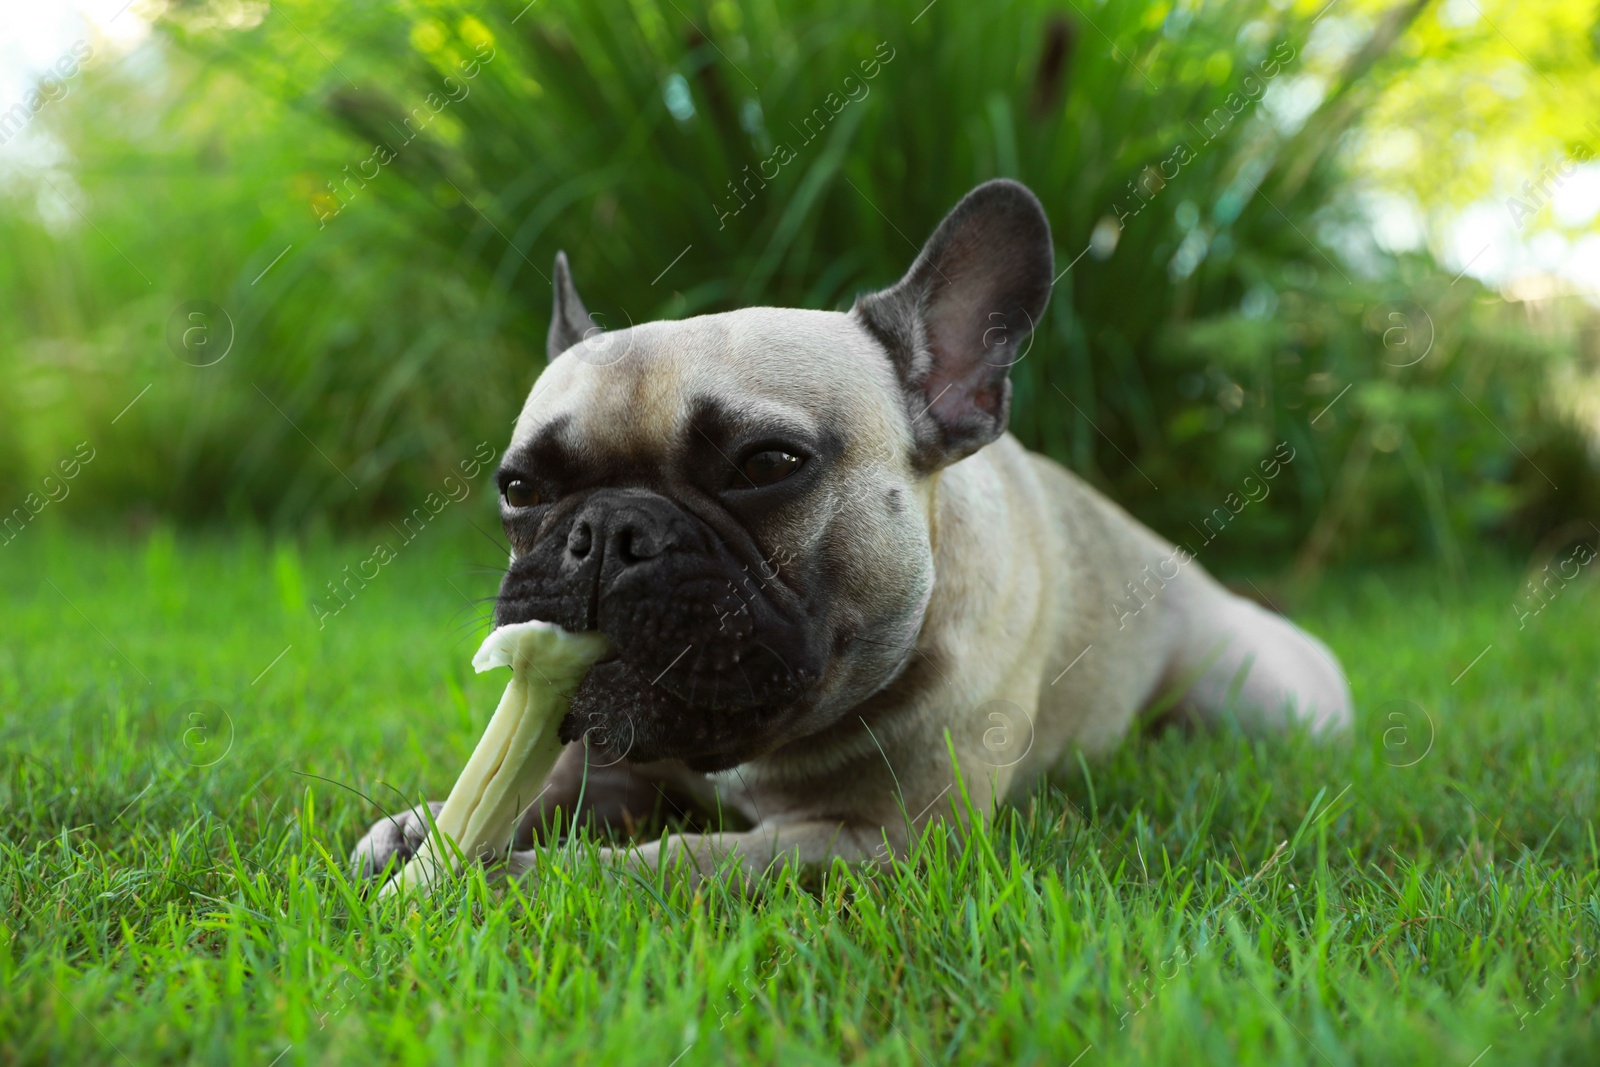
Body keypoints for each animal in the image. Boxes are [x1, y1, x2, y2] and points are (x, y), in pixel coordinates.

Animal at [350, 177, 1350, 895]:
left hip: (1250, 698)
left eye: (766, 463)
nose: (603, 530)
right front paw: (424, 826)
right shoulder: (618, 755)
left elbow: (679, 860)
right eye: (520, 488)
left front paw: (501, 877)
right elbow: (547, 785)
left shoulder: (879, 841)